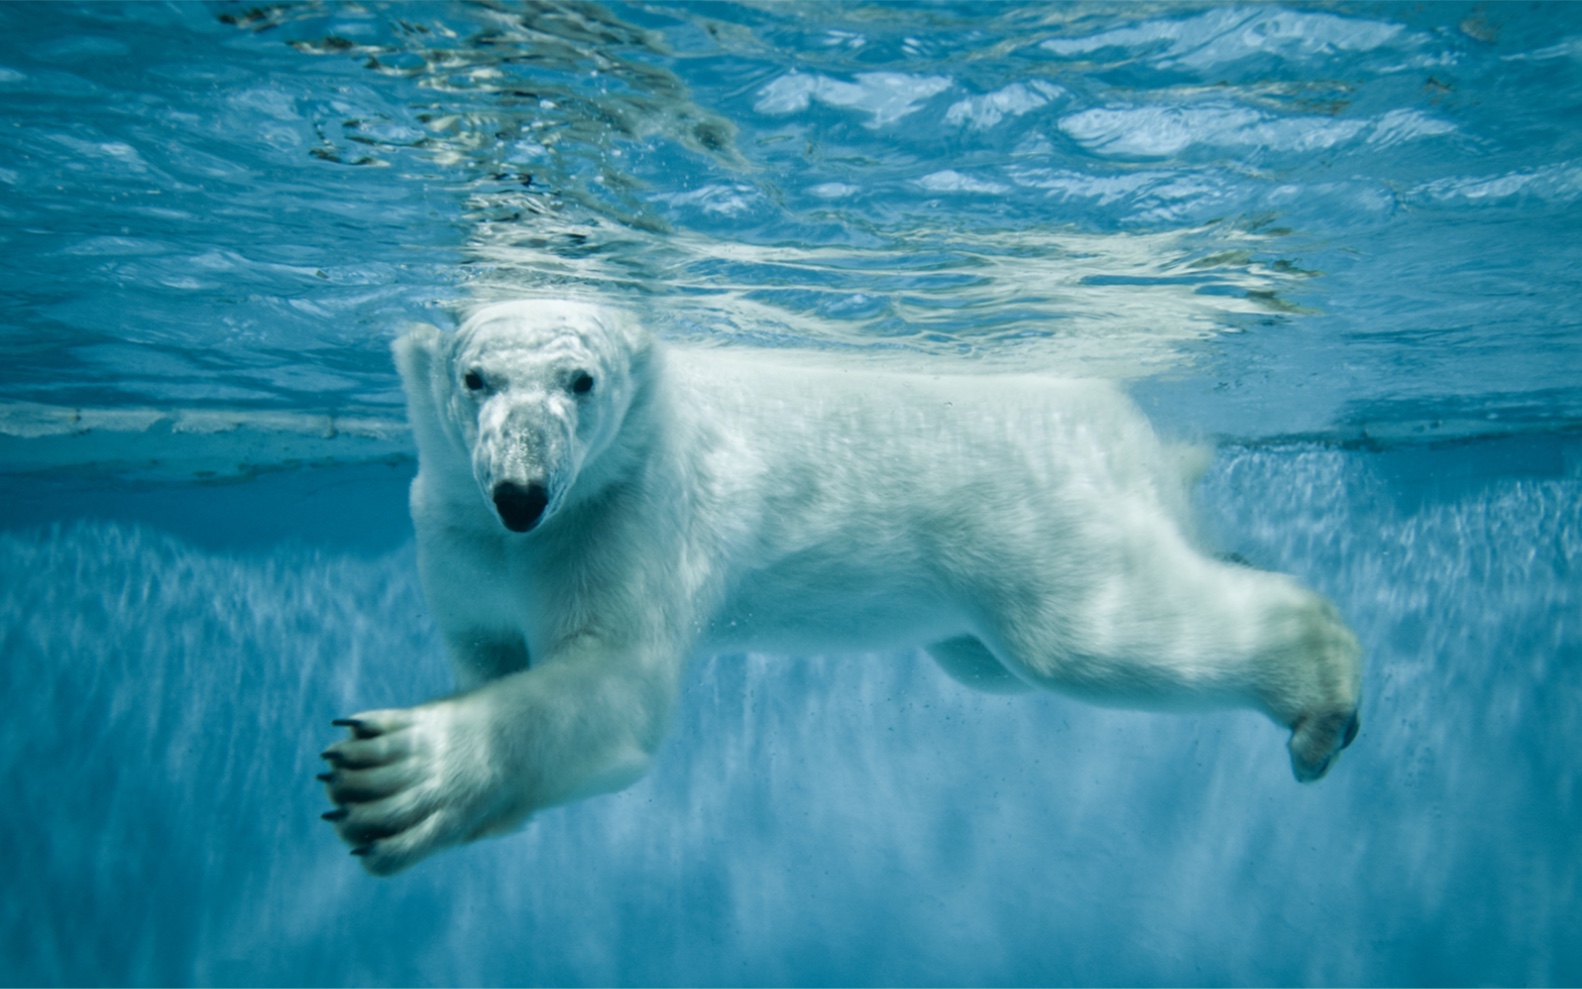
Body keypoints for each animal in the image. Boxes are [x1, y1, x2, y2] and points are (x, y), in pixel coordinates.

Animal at [321, 299, 1360, 873]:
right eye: (474, 376)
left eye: (581, 379)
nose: (522, 492)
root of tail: (1127, 424)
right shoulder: (453, 536)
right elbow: (488, 649)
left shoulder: (628, 511)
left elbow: (614, 683)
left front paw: (394, 773)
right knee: (992, 659)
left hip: (1029, 512)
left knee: (1084, 638)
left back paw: (1321, 689)